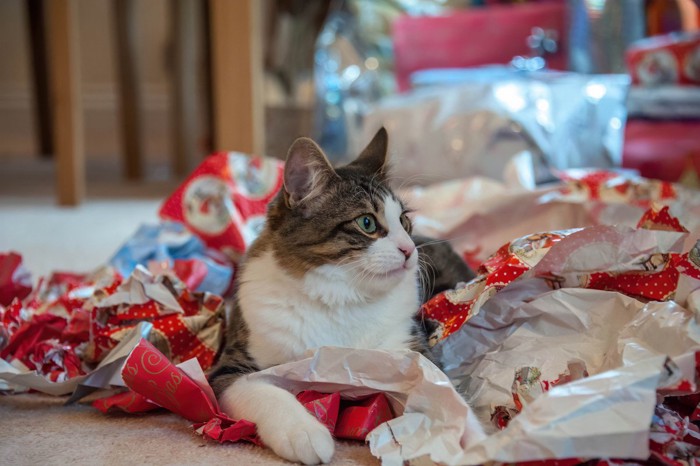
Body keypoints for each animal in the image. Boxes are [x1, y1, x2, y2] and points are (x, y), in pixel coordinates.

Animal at [205, 125, 474, 464]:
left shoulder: (413, 353)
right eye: (367, 223)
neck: (342, 297)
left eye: (404, 220)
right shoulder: (229, 368)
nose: (409, 249)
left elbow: (439, 396)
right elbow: (263, 391)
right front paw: (303, 431)